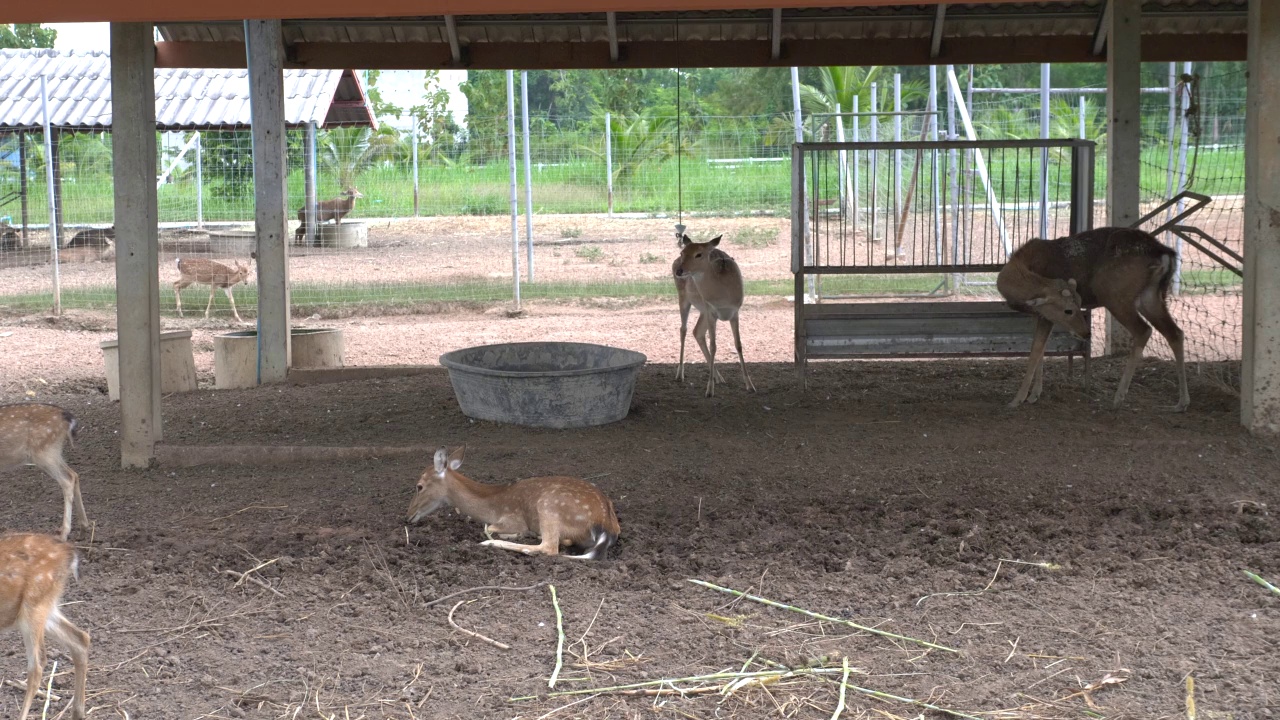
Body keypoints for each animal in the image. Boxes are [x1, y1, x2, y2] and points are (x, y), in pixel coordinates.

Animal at [0, 404, 89, 538]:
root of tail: (67, 418)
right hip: (53, 452)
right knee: (74, 474)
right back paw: (83, 527)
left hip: (44, 452)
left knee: (67, 480)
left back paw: (64, 533)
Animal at [0, 530, 90, 712]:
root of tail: (69, 551)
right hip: (45, 607)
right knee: (80, 639)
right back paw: (78, 712)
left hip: (34, 605)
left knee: (37, 665)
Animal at [401, 443, 616, 561]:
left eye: (419, 486)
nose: (408, 516)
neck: (491, 505)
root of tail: (605, 525)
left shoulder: (513, 518)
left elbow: (489, 527)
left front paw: (513, 534)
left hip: (549, 506)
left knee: (549, 547)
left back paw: (492, 543)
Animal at [675, 234, 752, 394]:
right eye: (682, 252)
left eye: (699, 254)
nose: (679, 271)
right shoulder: (711, 311)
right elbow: (713, 346)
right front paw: (709, 389)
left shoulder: (735, 311)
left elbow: (738, 344)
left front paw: (750, 385)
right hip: (684, 299)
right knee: (683, 329)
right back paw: (680, 373)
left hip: (703, 311)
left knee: (697, 331)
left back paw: (719, 377)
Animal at [998, 226, 1187, 412]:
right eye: (1068, 310)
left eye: (1080, 303)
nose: (1086, 333)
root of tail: (1164, 254)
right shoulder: (1039, 314)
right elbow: (1041, 349)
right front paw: (1034, 395)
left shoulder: (1046, 315)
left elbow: (1036, 350)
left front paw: (1018, 399)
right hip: (1151, 296)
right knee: (1175, 333)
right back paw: (1181, 403)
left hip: (1114, 294)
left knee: (1144, 330)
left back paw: (1118, 398)